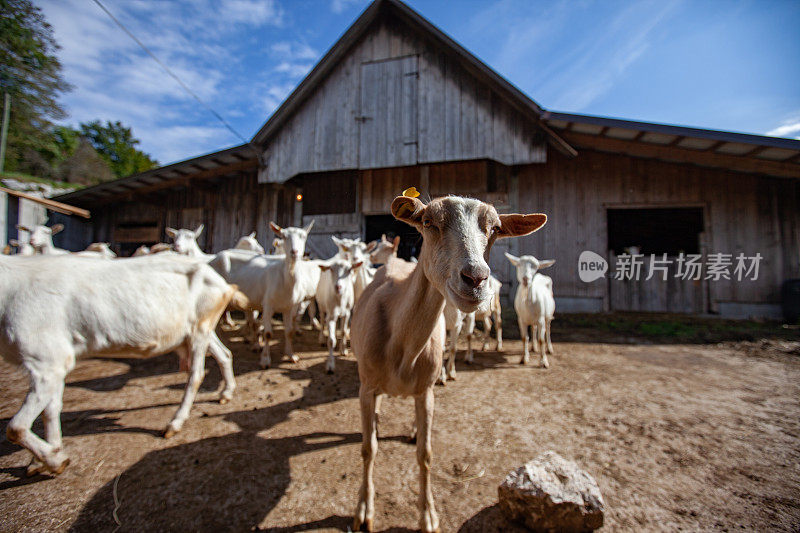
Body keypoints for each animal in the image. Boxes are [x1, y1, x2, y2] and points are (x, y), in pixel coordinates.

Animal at [0, 254, 242, 474]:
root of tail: (222, 283)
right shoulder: (55, 363)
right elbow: (50, 410)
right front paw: (46, 457)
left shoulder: (46, 361)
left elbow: (15, 427)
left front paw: (55, 460)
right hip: (197, 331)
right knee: (224, 354)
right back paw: (226, 393)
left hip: (201, 327)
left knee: (196, 374)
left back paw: (174, 423)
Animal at [354, 195, 548, 532]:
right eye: (428, 222)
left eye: (495, 228)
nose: (476, 278)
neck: (402, 347)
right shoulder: (366, 386)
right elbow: (368, 449)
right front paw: (364, 510)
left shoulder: (426, 391)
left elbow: (426, 454)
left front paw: (428, 515)